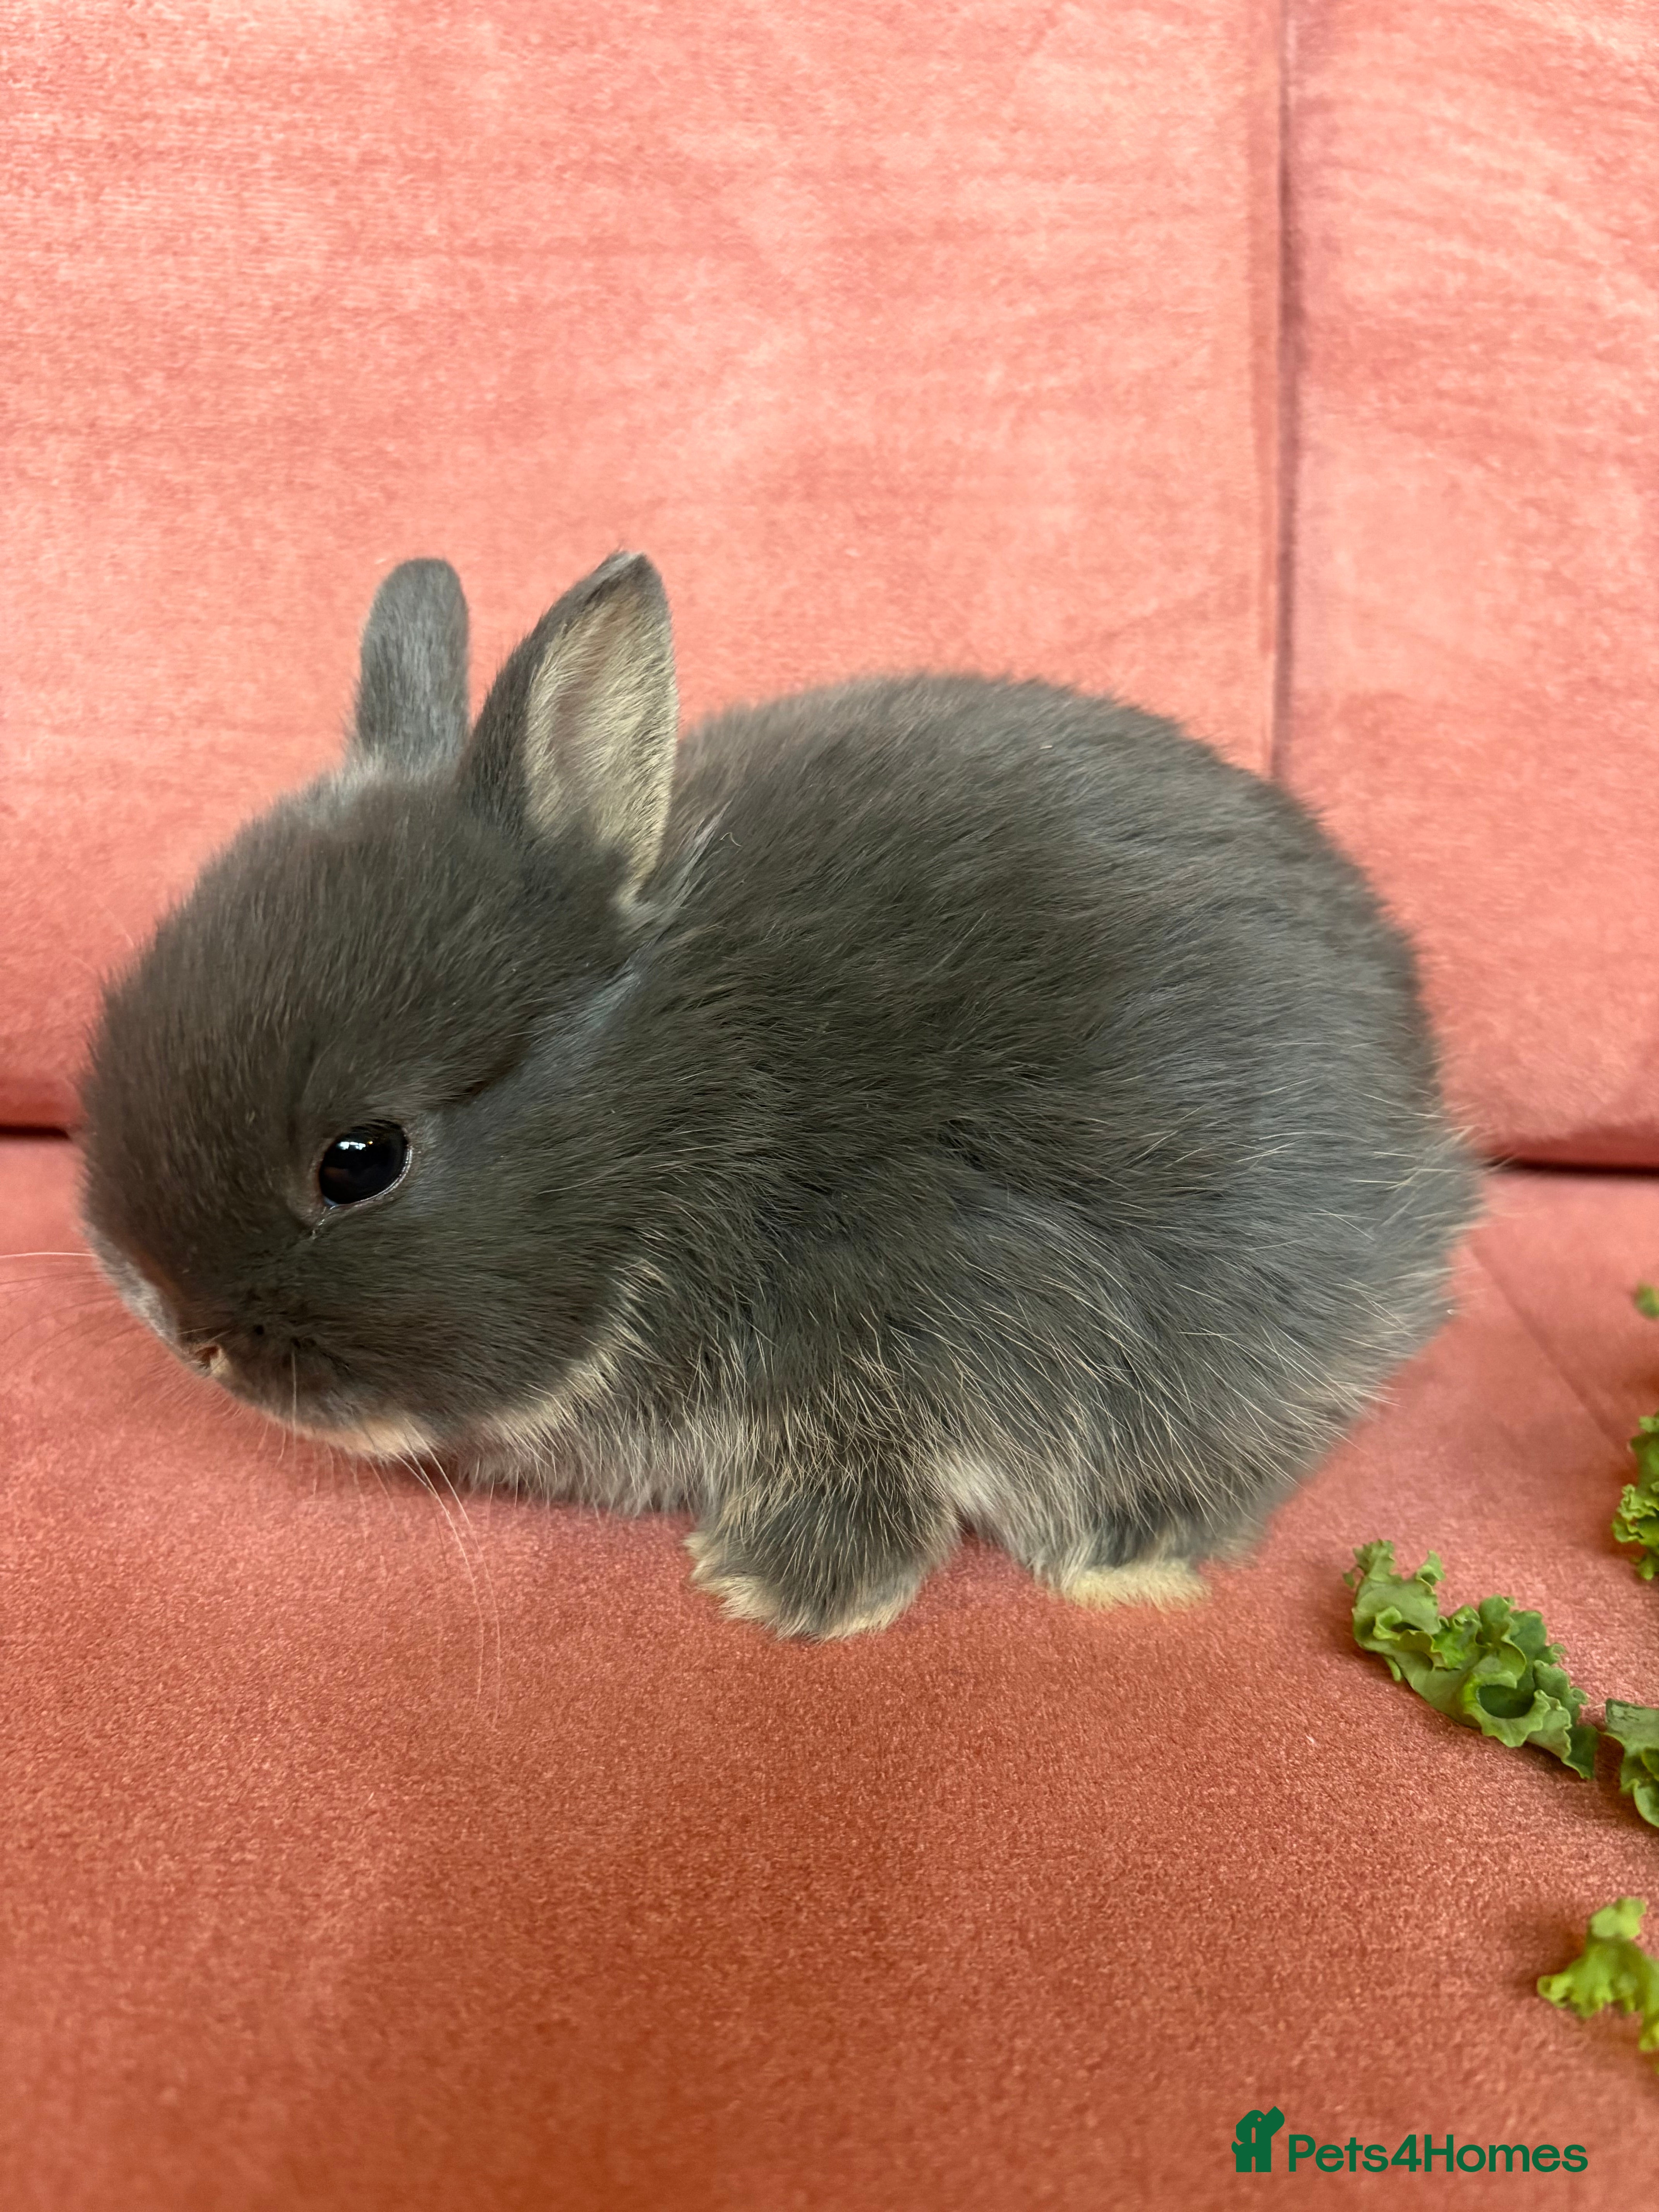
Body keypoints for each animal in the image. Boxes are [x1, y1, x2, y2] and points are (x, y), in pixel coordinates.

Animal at [79, 551, 1478, 1638]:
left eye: (360, 1158)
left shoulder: (937, 1306)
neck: (688, 1107)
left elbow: (881, 1459)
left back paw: (1129, 1555)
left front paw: (773, 1589)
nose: (180, 1328)